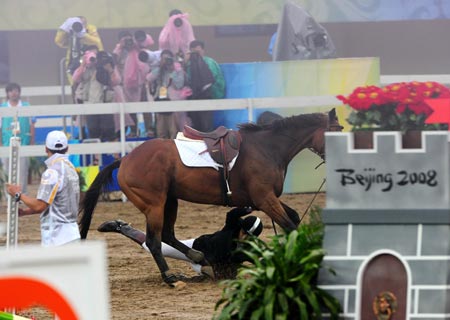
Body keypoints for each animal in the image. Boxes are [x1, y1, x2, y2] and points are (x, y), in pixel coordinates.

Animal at [79, 109, 342, 286]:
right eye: (336, 132)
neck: (268, 148)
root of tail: (125, 160)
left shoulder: (265, 199)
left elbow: (294, 219)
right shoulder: (265, 199)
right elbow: (289, 225)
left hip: (170, 200)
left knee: (168, 235)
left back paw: (196, 255)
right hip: (154, 204)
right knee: (155, 241)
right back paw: (170, 276)